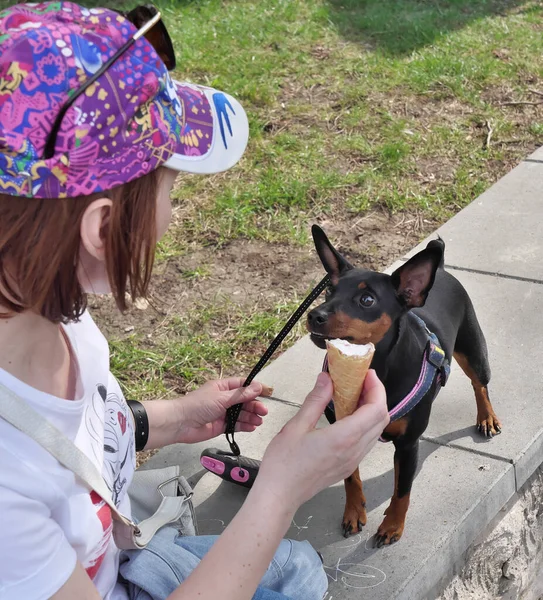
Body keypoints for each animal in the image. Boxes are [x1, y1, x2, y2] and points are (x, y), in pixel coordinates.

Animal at [306, 224, 502, 544]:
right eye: (328, 291)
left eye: (367, 300)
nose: (314, 315)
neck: (375, 366)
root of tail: (441, 268)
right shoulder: (343, 433)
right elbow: (350, 477)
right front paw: (353, 512)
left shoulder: (409, 444)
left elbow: (402, 491)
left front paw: (392, 527)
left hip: (473, 349)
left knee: (480, 384)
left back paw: (487, 417)